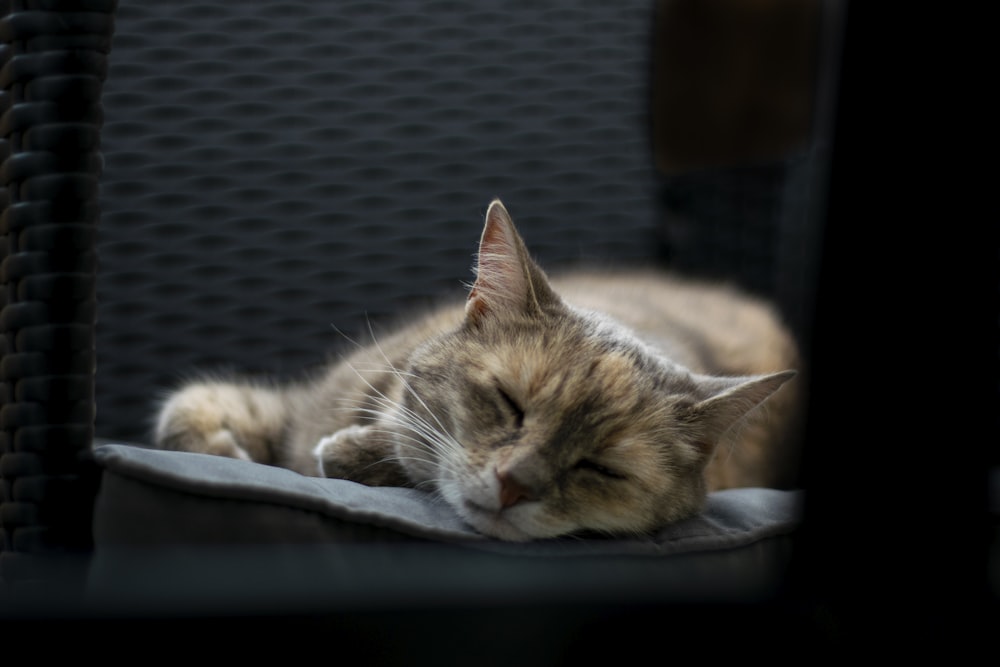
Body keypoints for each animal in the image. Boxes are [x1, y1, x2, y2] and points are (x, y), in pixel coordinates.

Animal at [152, 200, 800, 544]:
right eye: (509, 401)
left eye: (602, 467)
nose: (515, 484)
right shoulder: (298, 409)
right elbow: (192, 408)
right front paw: (223, 449)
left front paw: (361, 454)